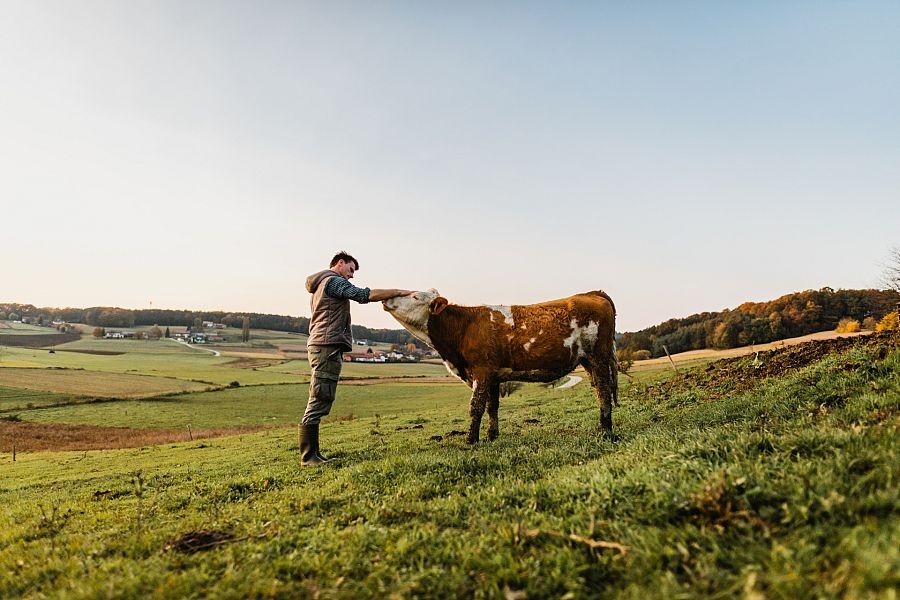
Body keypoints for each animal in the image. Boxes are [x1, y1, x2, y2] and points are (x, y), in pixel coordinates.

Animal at [382, 289, 617, 444]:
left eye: (414, 296)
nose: (386, 299)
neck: (464, 327)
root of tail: (591, 293)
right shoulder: (493, 376)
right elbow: (491, 407)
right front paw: (491, 436)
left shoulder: (481, 370)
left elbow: (475, 406)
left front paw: (471, 440)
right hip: (588, 361)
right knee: (599, 390)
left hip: (598, 356)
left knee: (604, 391)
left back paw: (606, 431)